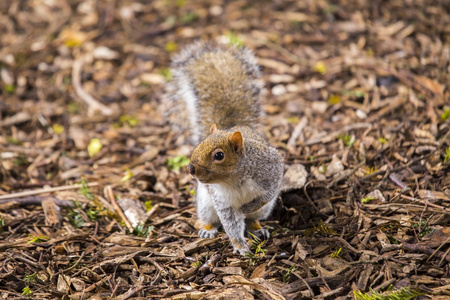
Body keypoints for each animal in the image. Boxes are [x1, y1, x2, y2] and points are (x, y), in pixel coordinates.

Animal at [167, 41, 284, 254]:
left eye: (219, 155)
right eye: (198, 144)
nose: (190, 168)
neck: (234, 178)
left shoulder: (271, 170)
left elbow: (267, 194)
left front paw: (247, 208)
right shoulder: (222, 201)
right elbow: (231, 222)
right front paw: (240, 246)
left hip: (265, 210)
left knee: (254, 218)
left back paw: (257, 227)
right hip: (205, 203)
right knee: (210, 218)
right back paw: (207, 229)